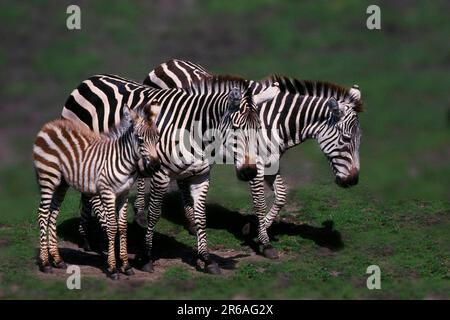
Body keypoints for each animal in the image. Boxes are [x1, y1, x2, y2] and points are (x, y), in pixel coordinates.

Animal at [33, 102, 161, 278]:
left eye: (157, 138)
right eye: (140, 139)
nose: (156, 166)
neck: (122, 159)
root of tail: (48, 126)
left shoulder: (124, 193)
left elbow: (122, 226)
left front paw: (126, 266)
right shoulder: (107, 192)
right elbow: (112, 227)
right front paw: (113, 268)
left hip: (61, 183)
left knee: (53, 214)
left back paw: (58, 260)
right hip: (48, 177)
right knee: (43, 213)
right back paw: (45, 263)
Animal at [59, 74, 278, 274]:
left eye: (259, 127)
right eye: (235, 127)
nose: (250, 172)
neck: (196, 133)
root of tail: (89, 79)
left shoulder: (201, 176)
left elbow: (201, 216)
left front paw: (206, 260)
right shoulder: (161, 174)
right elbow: (154, 214)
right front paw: (146, 257)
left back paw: (89, 239)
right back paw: (103, 239)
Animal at [142, 58, 364, 260]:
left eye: (360, 138)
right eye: (346, 139)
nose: (353, 181)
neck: (277, 122)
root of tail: (166, 63)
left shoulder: (272, 162)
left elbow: (281, 196)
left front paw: (254, 229)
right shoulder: (255, 164)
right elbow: (259, 202)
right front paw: (264, 243)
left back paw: (191, 224)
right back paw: (143, 216)